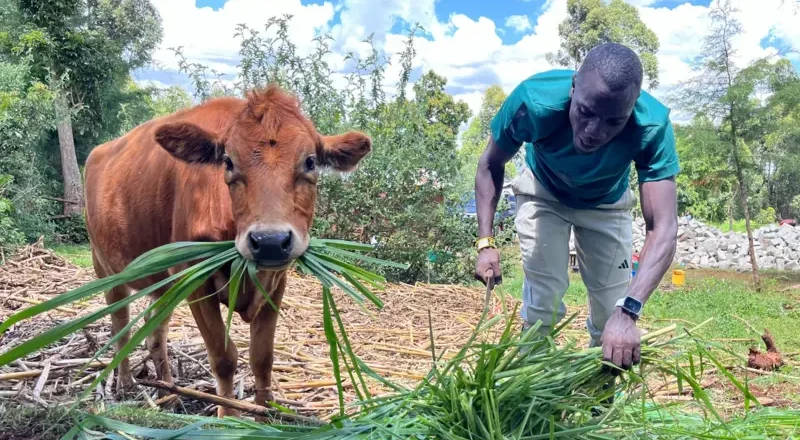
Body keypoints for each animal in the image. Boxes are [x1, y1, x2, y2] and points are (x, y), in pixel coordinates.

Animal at [84, 85, 372, 416]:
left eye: (310, 162)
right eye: (229, 162)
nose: (270, 240)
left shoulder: (276, 281)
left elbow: (262, 357)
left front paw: (265, 415)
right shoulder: (193, 278)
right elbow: (223, 357)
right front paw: (228, 416)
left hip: (164, 284)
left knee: (154, 332)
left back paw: (168, 392)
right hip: (106, 267)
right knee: (121, 325)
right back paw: (126, 382)